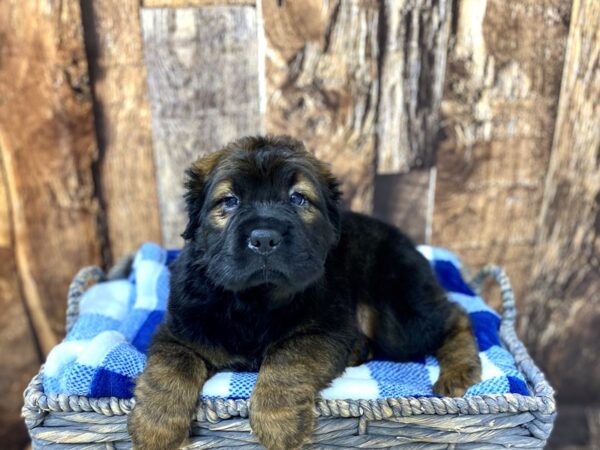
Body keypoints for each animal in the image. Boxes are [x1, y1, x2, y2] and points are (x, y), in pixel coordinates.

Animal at [127, 135, 482, 448]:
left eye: (297, 199)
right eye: (229, 201)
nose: (264, 238)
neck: (254, 300)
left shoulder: (323, 328)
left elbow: (286, 358)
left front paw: (278, 422)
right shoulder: (180, 330)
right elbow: (169, 370)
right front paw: (154, 427)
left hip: (400, 320)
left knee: (455, 314)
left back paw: (459, 371)